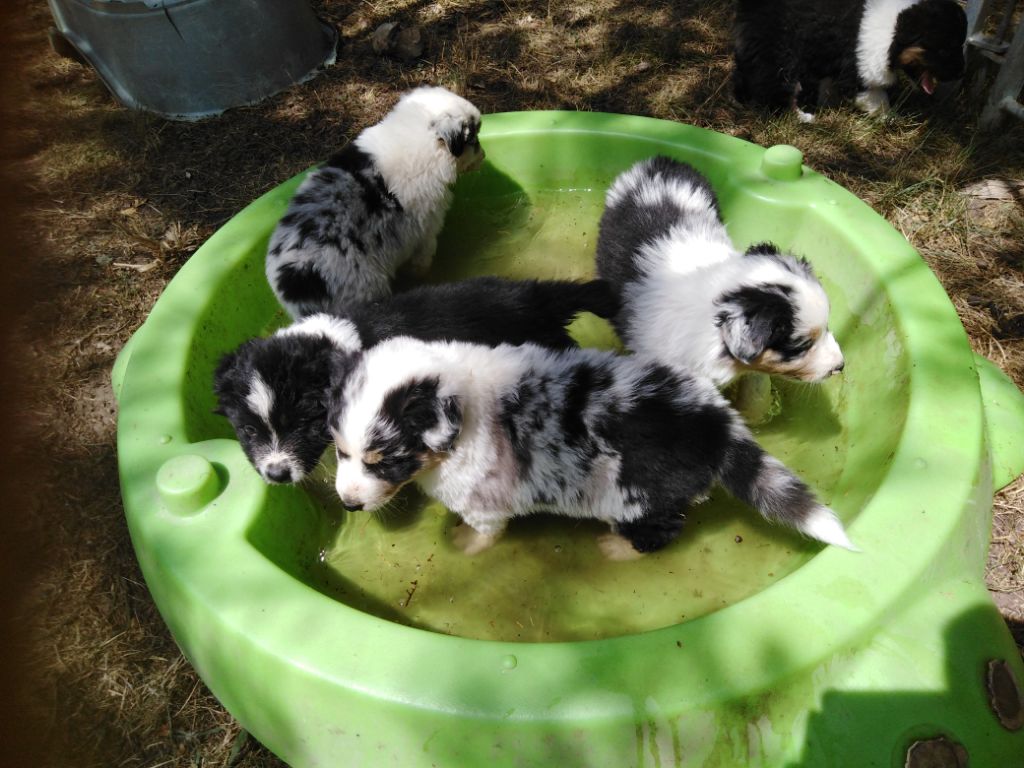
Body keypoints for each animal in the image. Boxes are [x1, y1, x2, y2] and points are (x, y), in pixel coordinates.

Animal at [327, 335, 856, 561]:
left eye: (384, 460)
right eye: (339, 452)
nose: (347, 504)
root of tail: (716, 424)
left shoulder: (484, 503)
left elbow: (484, 533)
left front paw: (462, 544)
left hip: (633, 496)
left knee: (662, 530)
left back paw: (617, 549)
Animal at [733, 0, 962, 119]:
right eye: (943, 51)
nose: (959, 74)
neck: (894, 29)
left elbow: (828, 85)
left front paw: (828, 104)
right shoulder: (859, 65)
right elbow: (876, 97)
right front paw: (888, 118)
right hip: (780, 52)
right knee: (774, 84)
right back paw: (800, 117)